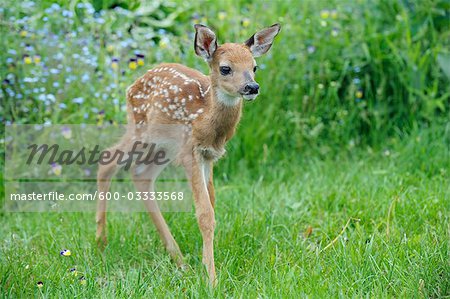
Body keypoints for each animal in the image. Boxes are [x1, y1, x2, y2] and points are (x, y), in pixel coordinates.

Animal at [96, 23, 282, 286]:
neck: (205, 118)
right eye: (225, 68)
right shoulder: (189, 152)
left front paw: (207, 265)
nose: (252, 87)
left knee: (140, 174)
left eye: (254, 67)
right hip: (140, 129)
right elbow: (204, 213)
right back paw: (101, 242)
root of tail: (131, 86)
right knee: (107, 159)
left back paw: (179, 259)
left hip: (161, 147)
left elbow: (212, 204)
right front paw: (212, 279)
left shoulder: (209, 156)